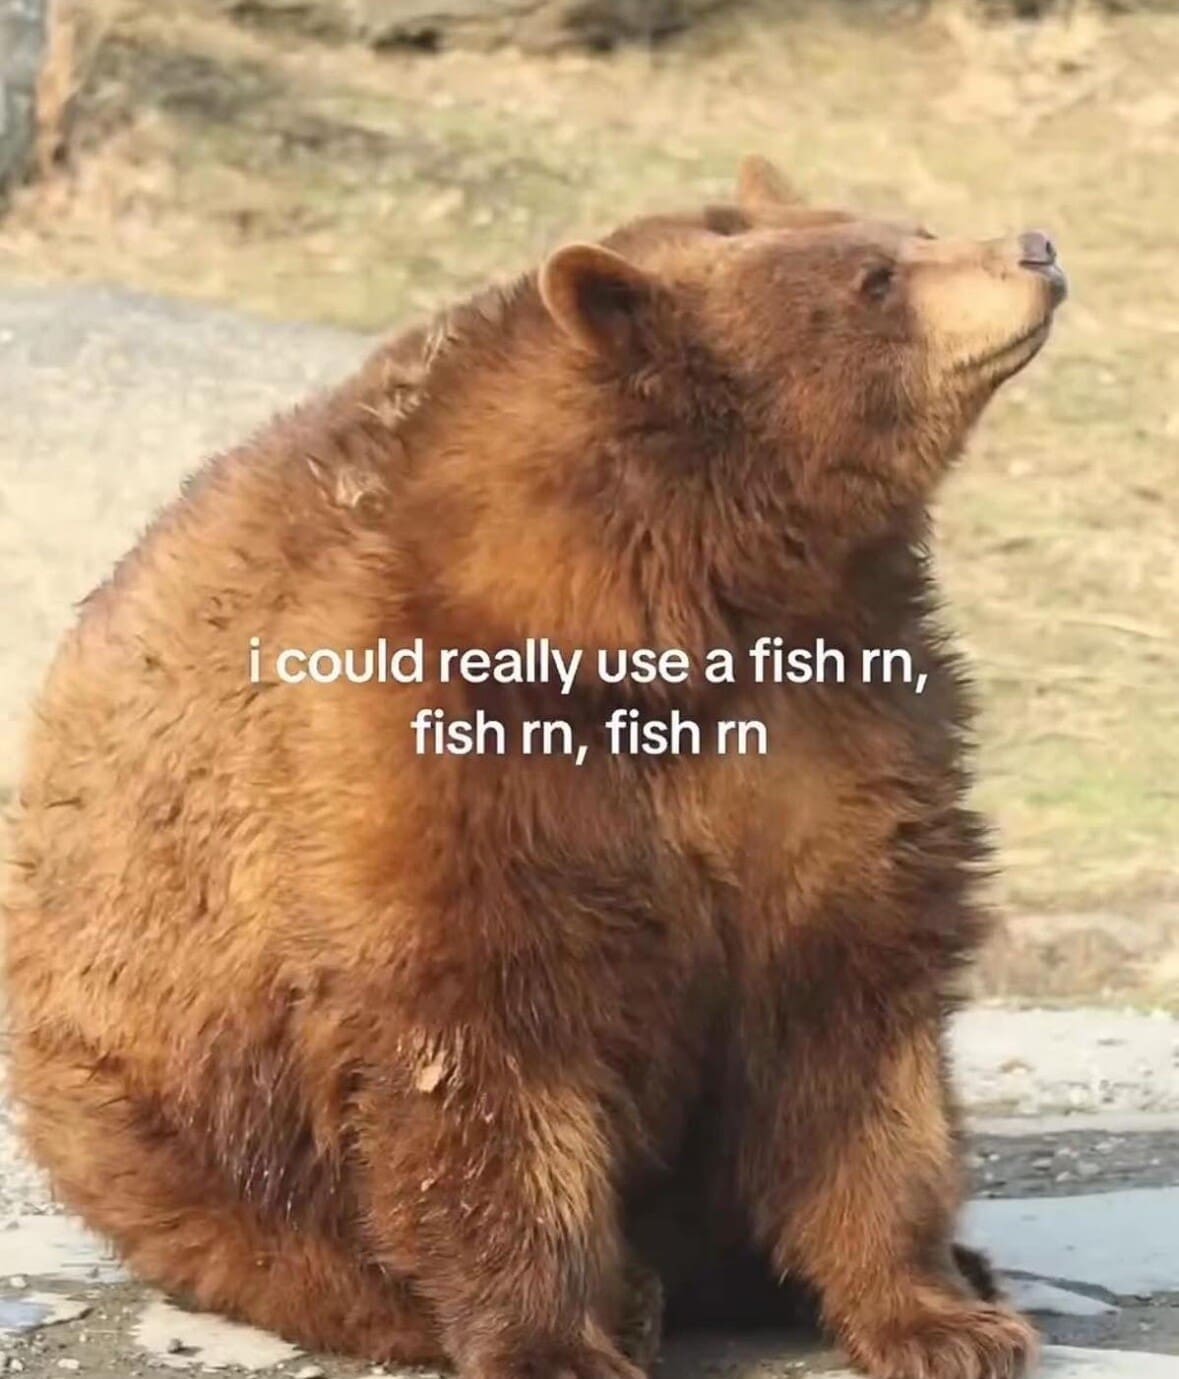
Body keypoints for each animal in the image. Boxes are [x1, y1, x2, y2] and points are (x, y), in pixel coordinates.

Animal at [3, 156, 1066, 1379]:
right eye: (876, 277)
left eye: (909, 225)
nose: (1035, 247)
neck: (676, 606)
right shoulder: (445, 749)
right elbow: (486, 1050)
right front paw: (557, 1337)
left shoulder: (837, 730)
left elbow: (856, 1021)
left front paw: (943, 1315)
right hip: (158, 1086)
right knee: (253, 1217)